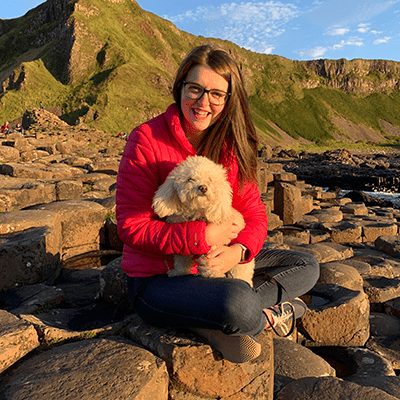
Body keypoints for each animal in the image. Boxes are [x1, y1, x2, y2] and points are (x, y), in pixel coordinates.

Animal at [152, 155, 255, 286]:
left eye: (210, 180)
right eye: (190, 179)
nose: (203, 187)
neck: (195, 212)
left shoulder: (214, 245)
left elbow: (210, 260)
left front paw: (213, 274)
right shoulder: (181, 243)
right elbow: (181, 259)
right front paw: (179, 272)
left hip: (240, 265)